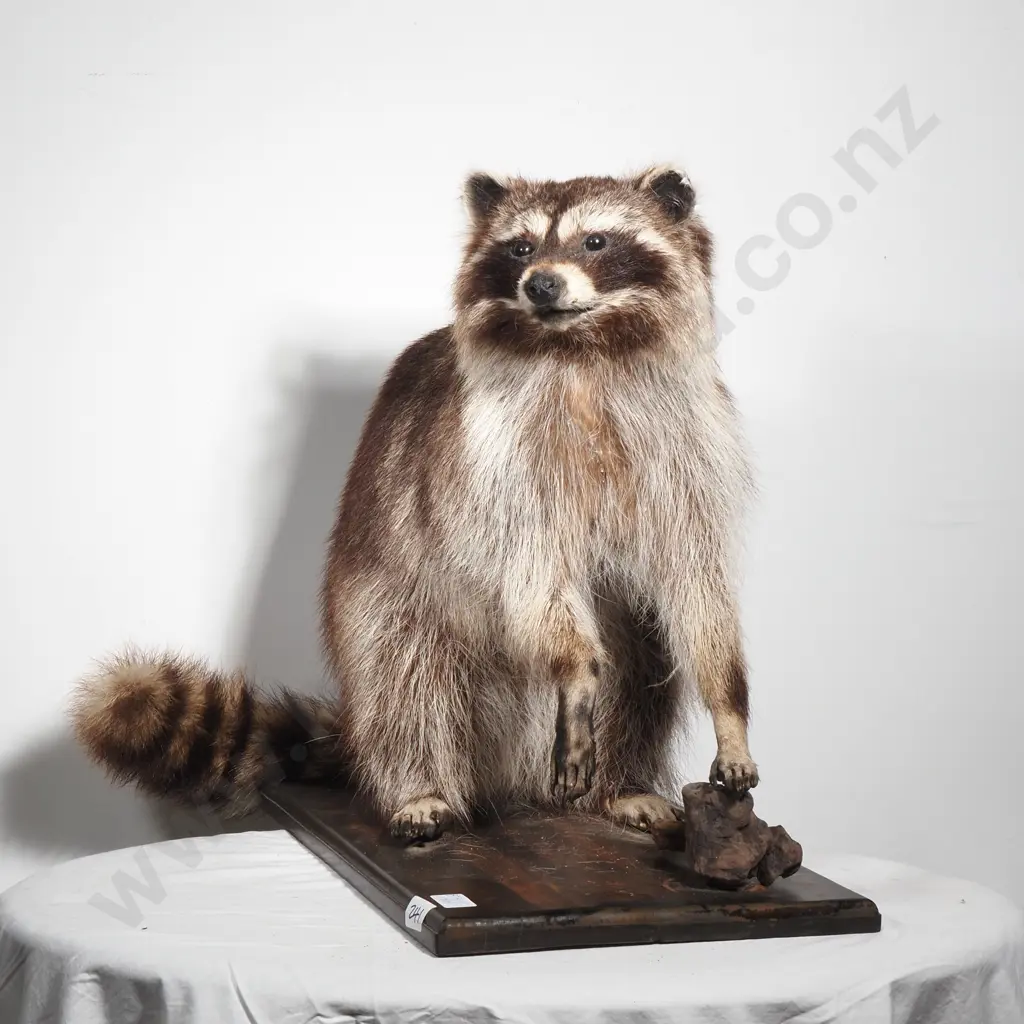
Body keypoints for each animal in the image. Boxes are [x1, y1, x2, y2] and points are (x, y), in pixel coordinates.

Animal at [72, 166, 757, 842]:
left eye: (596, 242)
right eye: (520, 248)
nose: (540, 284)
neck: (580, 347)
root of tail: (514, 775)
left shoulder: (688, 445)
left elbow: (697, 583)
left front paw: (729, 709)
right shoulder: (492, 464)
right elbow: (532, 577)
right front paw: (574, 666)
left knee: (642, 667)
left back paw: (620, 786)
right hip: (384, 591)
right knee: (403, 679)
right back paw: (421, 788)